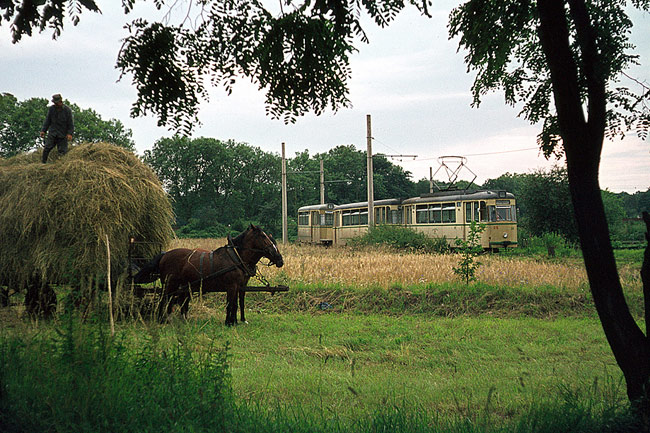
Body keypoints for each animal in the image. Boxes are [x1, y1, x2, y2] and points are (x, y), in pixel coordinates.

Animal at [133, 224, 282, 322]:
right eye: (263, 236)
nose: (279, 258)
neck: (236, 257)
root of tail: (164, 254)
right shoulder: (232, 286)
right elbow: (230, 305)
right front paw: (228, 322)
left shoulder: (238, 286)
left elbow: (235, 304)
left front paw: (234, 321)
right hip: (170, 284)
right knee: (164, 299)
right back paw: (161, 319)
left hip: (180, 285)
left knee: (173, 300)